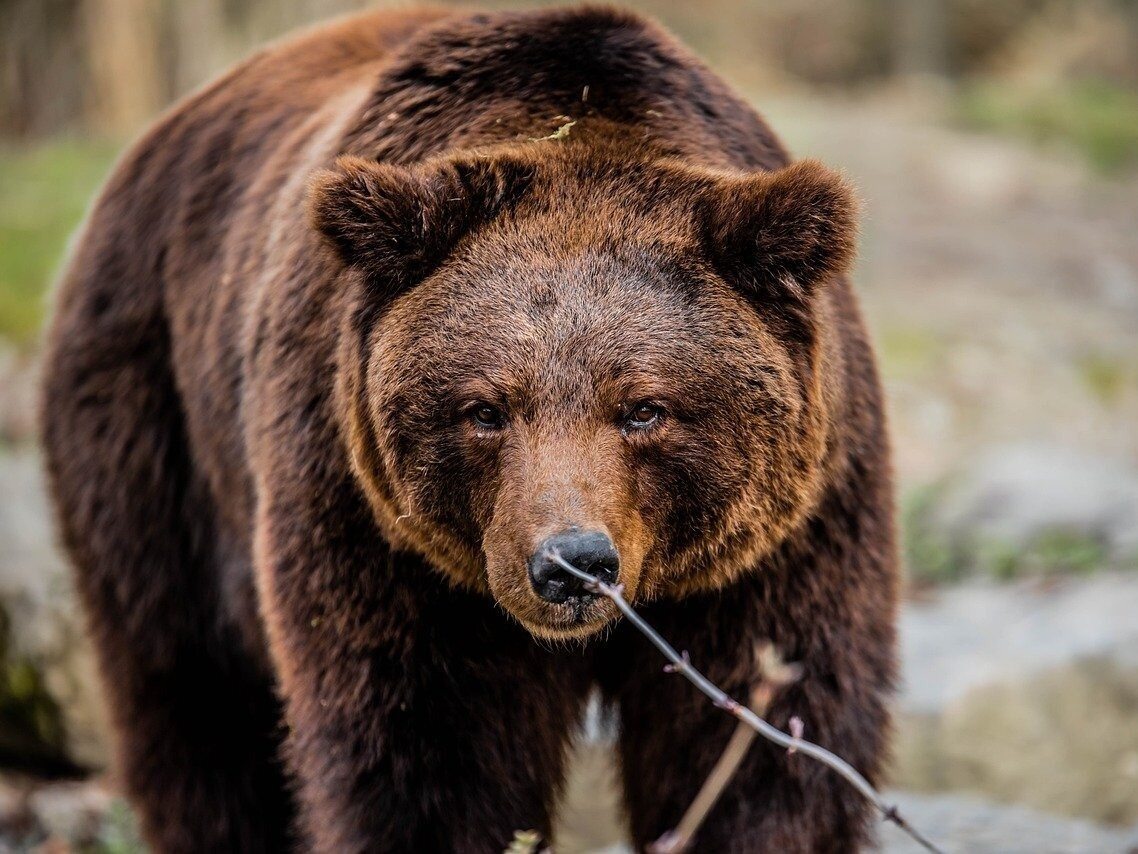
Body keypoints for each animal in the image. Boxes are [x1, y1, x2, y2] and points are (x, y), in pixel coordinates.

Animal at [42, 3, 896, 851]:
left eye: (644, 407)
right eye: (485, 409)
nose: (572, 564)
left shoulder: (771, 552)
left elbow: (762, 753)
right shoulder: (380, 537)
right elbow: (428, 759)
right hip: (154, 430)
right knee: (192, 706)